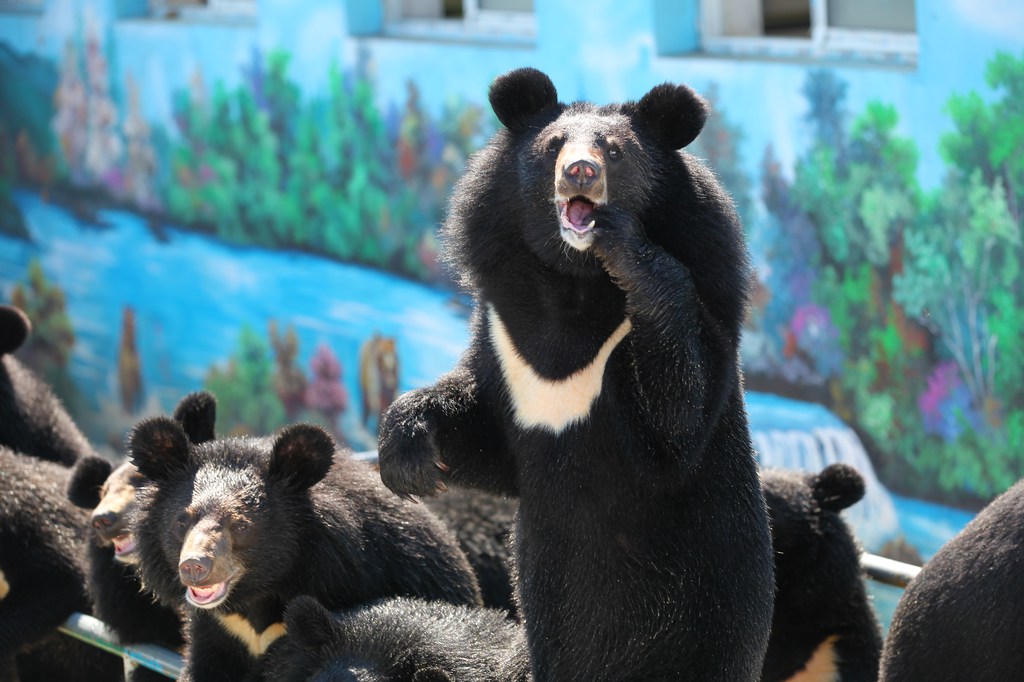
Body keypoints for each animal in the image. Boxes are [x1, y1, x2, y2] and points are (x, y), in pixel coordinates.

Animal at [377, 67, 775, 681]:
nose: (580, 171)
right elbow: (487, 432)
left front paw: (625, 244)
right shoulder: (503, 332)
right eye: (553, 146)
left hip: (716, 613)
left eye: (613, 150)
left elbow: (675, 424)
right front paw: (411, 458)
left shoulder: (708, 307)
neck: (575, 280)